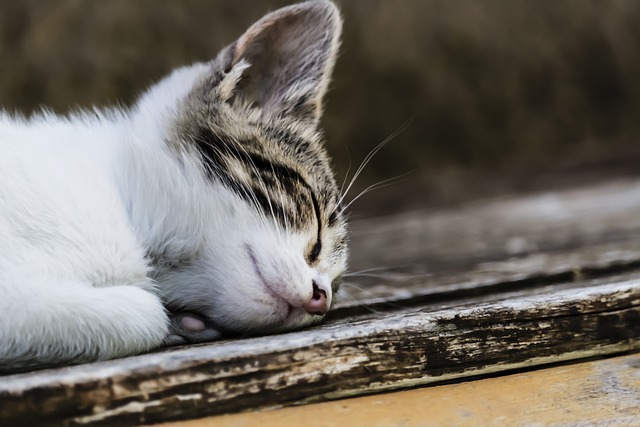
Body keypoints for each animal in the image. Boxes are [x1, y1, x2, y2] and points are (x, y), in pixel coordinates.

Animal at [0, 0, 348, 372]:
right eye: (316, 227)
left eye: (337, 284)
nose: (322, 298)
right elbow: (145, 314)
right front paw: (168, 318)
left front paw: (183, 321)